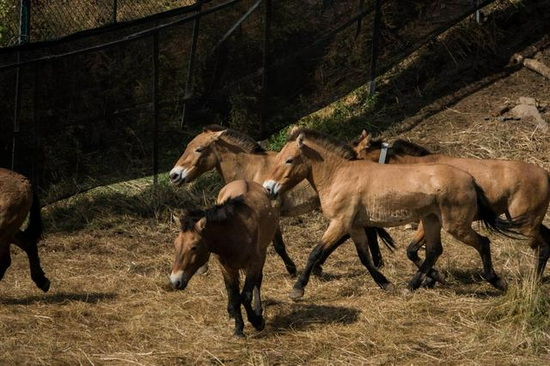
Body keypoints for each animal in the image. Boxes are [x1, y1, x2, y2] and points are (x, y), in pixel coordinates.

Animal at [169, 124, 396, 276]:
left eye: (199, 149)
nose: (174, 175)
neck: (253, 170)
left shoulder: (272, 212)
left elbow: (278, 245)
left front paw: (292, 269)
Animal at [169, 180, 280, 338]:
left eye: (194, 247)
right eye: (175, 244)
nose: (174, 281)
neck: (234, 233)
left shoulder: (254, 264)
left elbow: (246, 295)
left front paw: (257, 321)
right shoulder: (226, 268)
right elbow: (233, 295)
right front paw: (238, 328)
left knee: (257, 283)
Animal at [264, 127, 528, 298]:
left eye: (289, 160)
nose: (268, 187)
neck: (340, 175)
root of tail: (470, 179)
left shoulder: (339, 223)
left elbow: (315, 252)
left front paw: (297, 289)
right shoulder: (355, 226)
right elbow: (365, 258)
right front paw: (386, 284)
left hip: (456, 226)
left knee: (482, 243)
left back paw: (496, 281)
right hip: (431, 221)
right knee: (433, 251)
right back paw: (411, 286)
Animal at [354, 132, 550, 280]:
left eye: (356, 157)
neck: (414, 168)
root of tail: (545, 174)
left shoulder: (427, 221)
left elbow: (413, 251)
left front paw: (432, 277)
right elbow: (417, 251)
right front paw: (431, 278)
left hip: (526, 225)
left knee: (544, 246)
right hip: (525, 221)